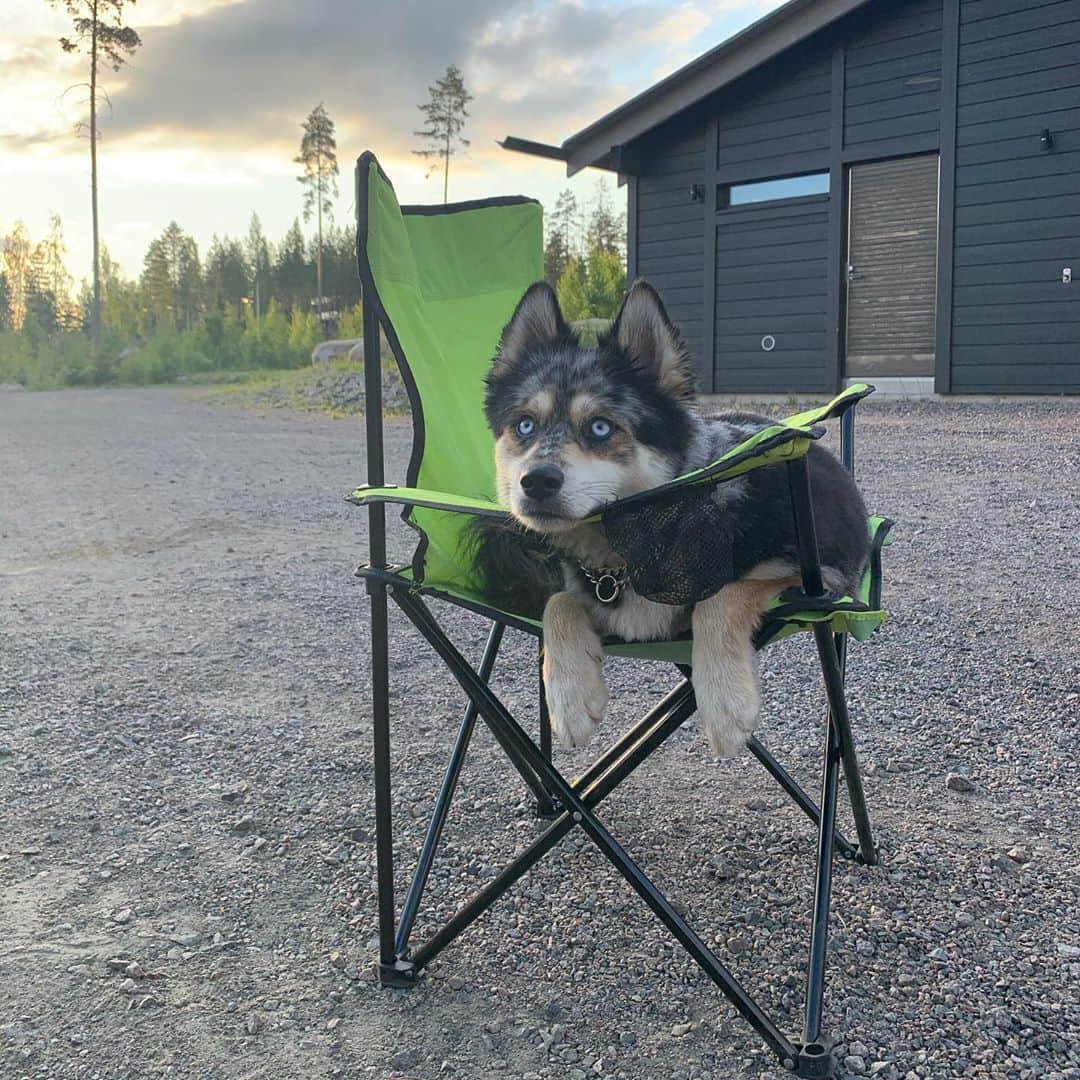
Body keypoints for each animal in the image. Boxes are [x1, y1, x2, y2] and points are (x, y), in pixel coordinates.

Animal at [481, 278, 868, 760]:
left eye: (601, 428)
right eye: (525, 425)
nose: (536, 482)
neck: (627, 549)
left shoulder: (817, 577)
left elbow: (718, 598)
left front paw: (724, 703)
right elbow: (559, 603)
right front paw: (569, 699)